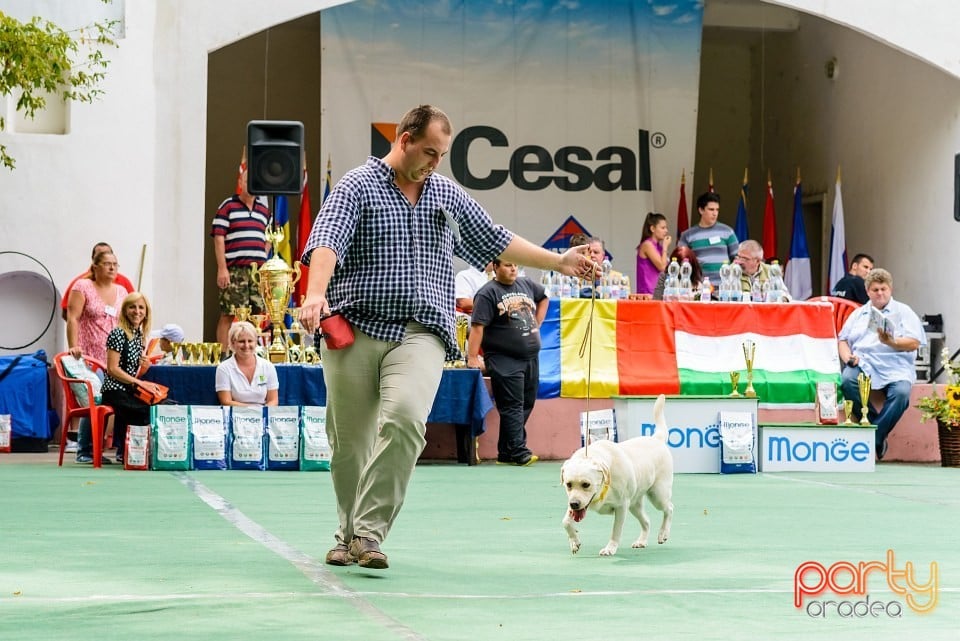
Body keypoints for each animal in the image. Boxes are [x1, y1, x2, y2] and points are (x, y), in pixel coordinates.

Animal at [560, 392, 672, 552]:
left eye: (586, 484)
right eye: (568, 484)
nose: (574, 504)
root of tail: (656, 438)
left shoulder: (621, 506)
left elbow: (616, 530)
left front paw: (610, 549)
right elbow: (565, 522)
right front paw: (574, 541)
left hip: (657, 494)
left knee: (669, 508)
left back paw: (663, 533)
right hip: (635, 504)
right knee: (647, 521)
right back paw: (641, 541)